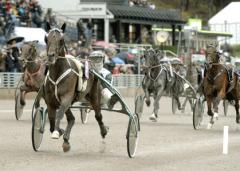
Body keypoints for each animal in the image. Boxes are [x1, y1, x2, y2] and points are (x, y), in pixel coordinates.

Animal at [42, 22, 108, 152]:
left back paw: (103, 131)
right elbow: (52, 122)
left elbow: (59, 115)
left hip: (94, 95)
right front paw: (60, 132)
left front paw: (58, 132)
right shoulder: (51, 102)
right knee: (71, 118)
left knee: (98, 115)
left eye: (61, 39)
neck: (57, 73)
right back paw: (66, 140)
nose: (51, 56)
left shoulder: (66, 98)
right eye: (46, 38)